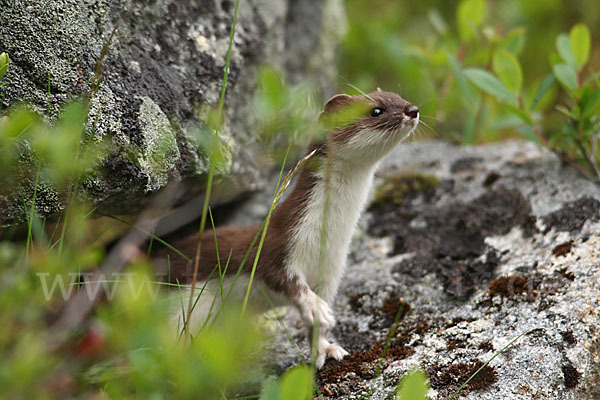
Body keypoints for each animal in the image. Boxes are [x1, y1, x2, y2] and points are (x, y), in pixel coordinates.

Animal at [155, 90, 418, 368]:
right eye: (376, 110)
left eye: (399, 97)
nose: (413, 110)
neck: (329, 238)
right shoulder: (279, 243)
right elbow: (285, 280)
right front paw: (315, 307)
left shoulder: (332, 272)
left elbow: (317, 325)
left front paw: (326, 348)